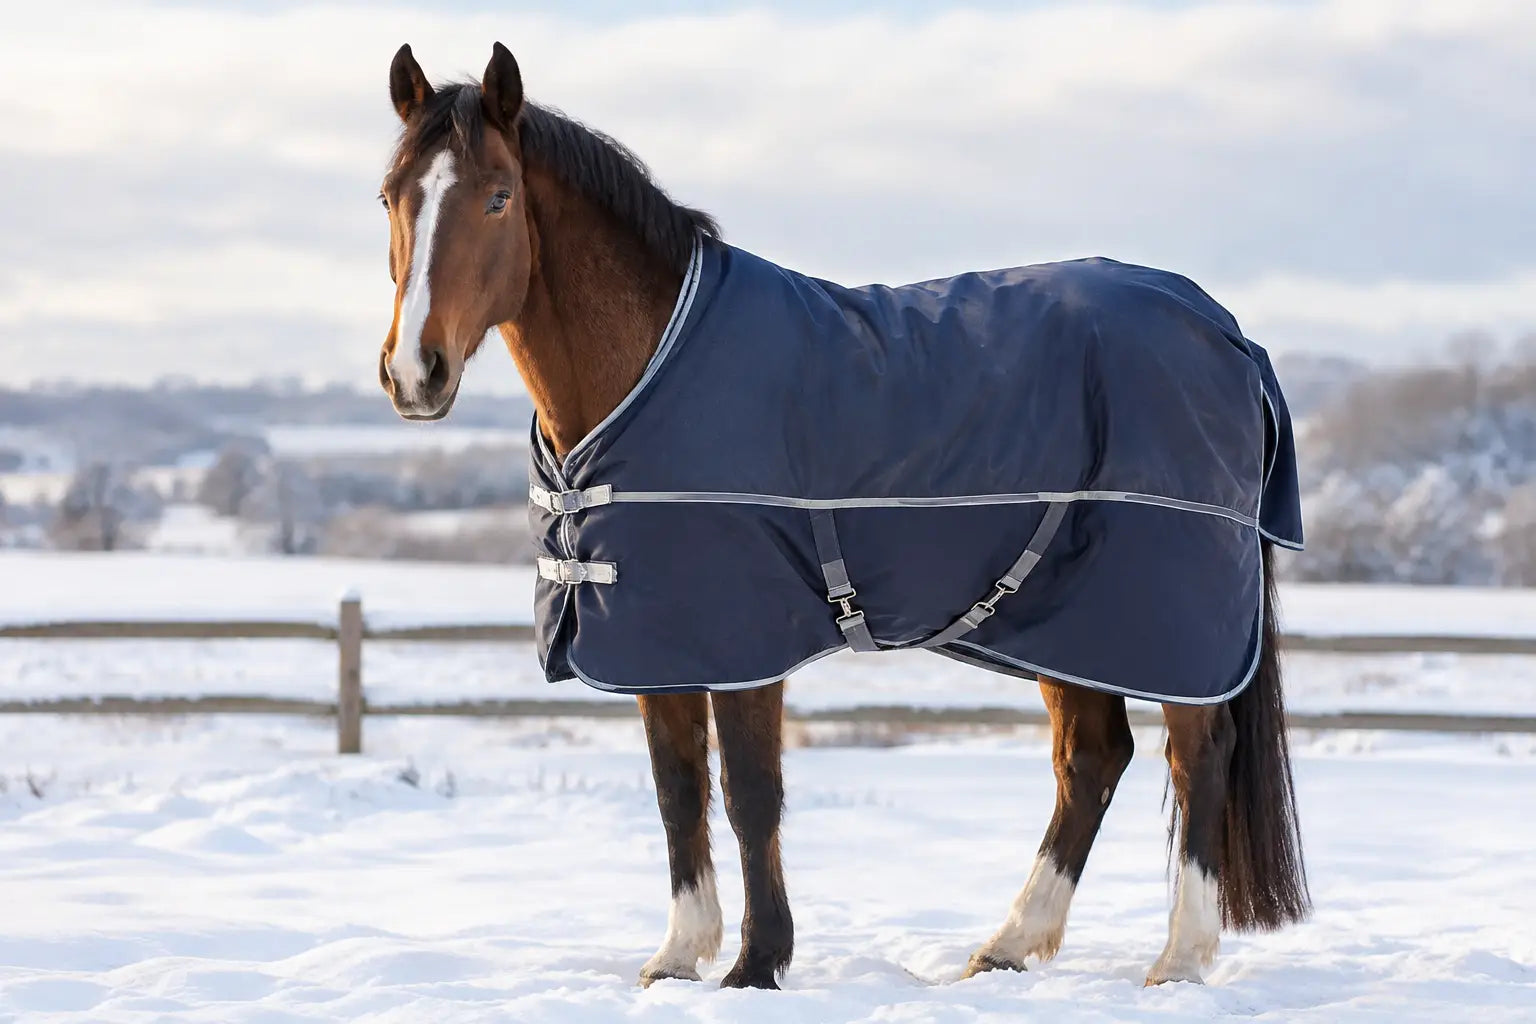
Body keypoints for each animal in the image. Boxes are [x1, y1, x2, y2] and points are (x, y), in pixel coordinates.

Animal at [374, 42, 1310, 990]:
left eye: (498, 196)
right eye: (389, 196)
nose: (415, 371)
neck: (656, 360)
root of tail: (1228, 334)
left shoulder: (742, 638)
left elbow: (750, 794)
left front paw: (757, 963)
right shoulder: (657, 635)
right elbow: (677, 789)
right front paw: (678, 957)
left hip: (1166, 615)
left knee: (1198, 752)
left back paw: (1179, 958)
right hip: (1070, 618)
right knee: (1092, 759)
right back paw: (1010, 944)